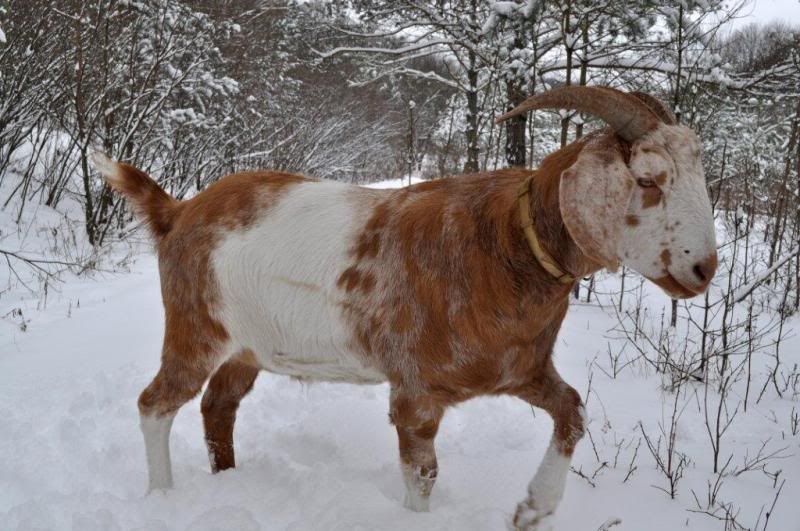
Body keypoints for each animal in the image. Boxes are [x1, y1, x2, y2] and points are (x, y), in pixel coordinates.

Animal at [91, 86, 717, 530]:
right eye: (648, 180)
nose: (703, 269)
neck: (501, 243)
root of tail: (178, 211)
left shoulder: (519, 369)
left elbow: (573, 410)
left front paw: (532, 510)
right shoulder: (416, 393)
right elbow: (423, 474)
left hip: (247, 347)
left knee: (218, 405)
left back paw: (228, 480)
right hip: (196, 326)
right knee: (156, 403)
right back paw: (162, 497)